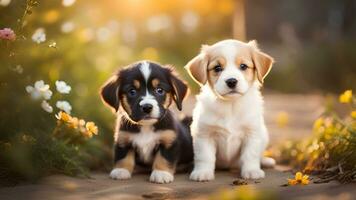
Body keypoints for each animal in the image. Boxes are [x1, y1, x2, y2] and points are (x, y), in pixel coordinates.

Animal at [185, 39, 276, 181]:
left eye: (243, 66)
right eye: (217, 68)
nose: (231, 81)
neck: (230, 106)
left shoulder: (252, 133)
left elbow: (250, 155)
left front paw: (252, 171)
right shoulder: (204, 135)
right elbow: (205, 157)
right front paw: (202, 172)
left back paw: (266, 161)